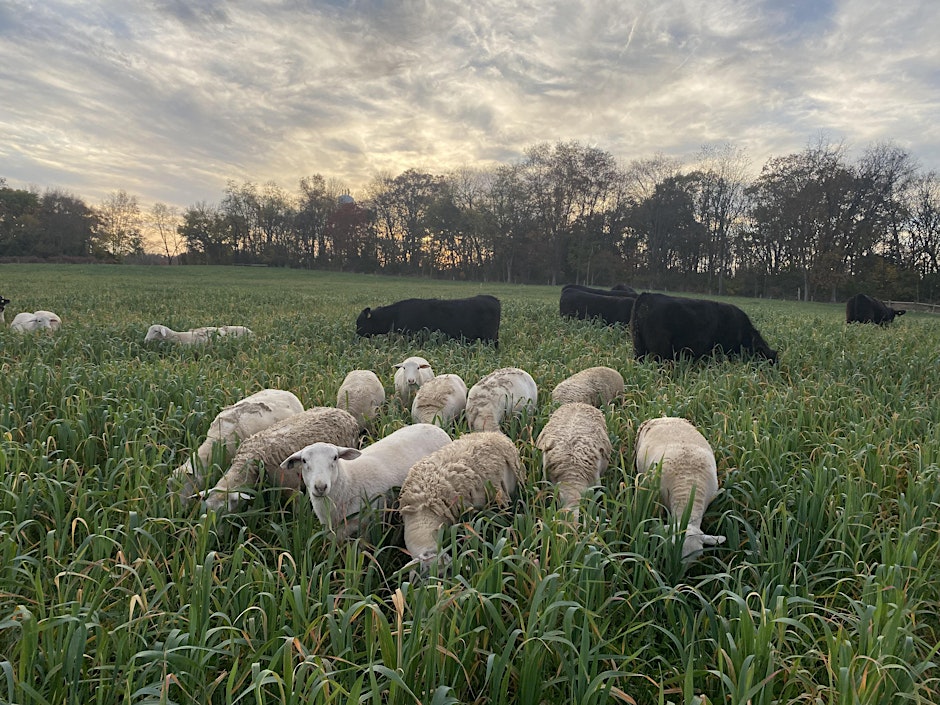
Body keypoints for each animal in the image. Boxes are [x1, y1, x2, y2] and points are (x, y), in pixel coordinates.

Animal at [281, 423, 452, 539]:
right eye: (304, 460)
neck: (348, 481)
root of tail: (434, 427)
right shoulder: (333, 531)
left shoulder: (366, 527)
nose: (320, 486)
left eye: (335, 458)